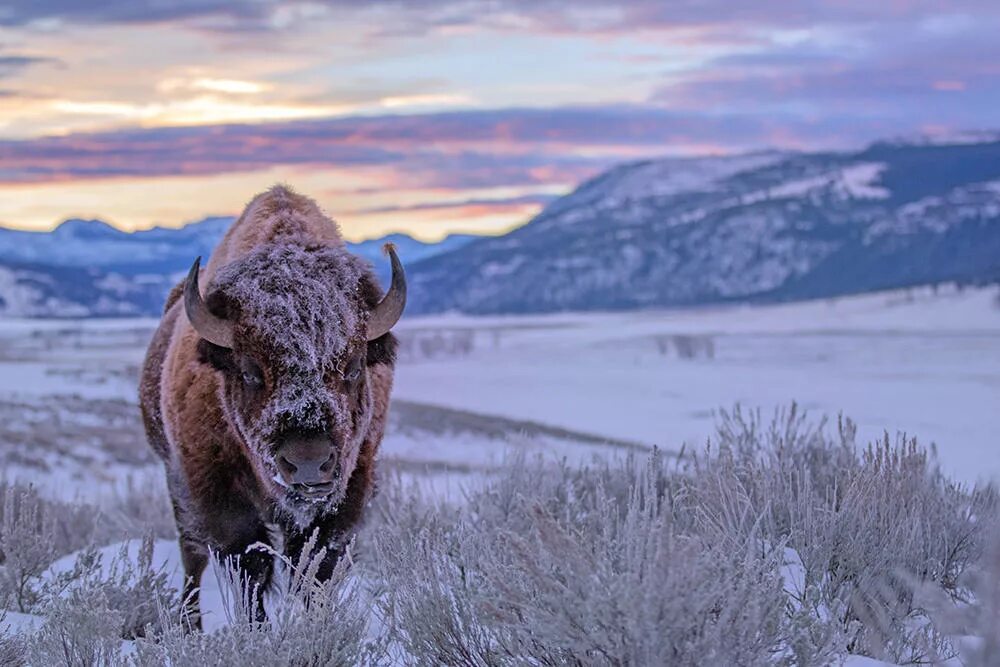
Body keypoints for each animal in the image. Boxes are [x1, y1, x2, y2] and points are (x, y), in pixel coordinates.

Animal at [139, 184, 404, 628]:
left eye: (352, 366)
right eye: (250, 371)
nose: (309, 463)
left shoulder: (351, 488)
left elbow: (315, 569)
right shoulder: (215, 491)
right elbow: (251, 567)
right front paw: (257, 631)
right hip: (174, 479)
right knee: (192, 554)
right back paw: (189, 623)